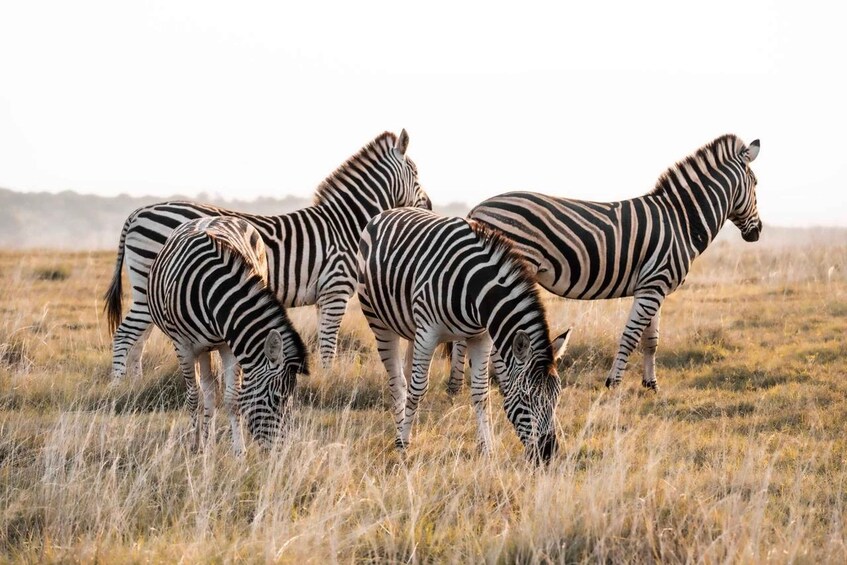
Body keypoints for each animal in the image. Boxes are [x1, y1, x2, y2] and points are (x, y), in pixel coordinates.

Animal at [104, 130, 429, 379]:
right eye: (415, 173)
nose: (428, 205)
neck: (345, 224)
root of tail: (138, 212)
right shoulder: (335, 290)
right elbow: (329, 344)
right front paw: (329, 379)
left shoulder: (324, 296)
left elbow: (324, 341)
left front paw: (323, 379)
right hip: (149, 288)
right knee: (124, 336)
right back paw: (118, 386)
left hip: (153, 292)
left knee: (139, 339)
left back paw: (135, 384)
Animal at [148, 217, 309, 453]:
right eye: (277, 398)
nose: (280, 452)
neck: (210, 293)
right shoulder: (182, 346)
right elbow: (193, 397)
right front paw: (194, 446)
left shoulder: (229, 344)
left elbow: (232, 399)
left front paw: (239, 451)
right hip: (198, 348)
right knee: (204, 391)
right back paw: (203, 443)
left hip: (208, 346)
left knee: (210, 391)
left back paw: (208, 441)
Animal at [357, 207, 571, 463]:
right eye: (525, 398)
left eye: (556, 397)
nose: (548, 454)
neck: (475, 290)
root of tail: (389, 211)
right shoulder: (427, 332)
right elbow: (418, 389)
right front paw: (403, 445)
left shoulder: (482, 337)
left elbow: (481, 393)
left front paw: (487, 448)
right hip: (378, 321)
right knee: (398, 382)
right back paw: (400, 434)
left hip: (410, 328)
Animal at [450, 134, 760, 392]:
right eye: (756, 184)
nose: (756, 233)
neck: (681, 220)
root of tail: (477, 209)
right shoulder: (654, 284)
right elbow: (630, 336)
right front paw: (614, 384)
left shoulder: (654, 287)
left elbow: (651, 340)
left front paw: (651, 385)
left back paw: (456, 387)